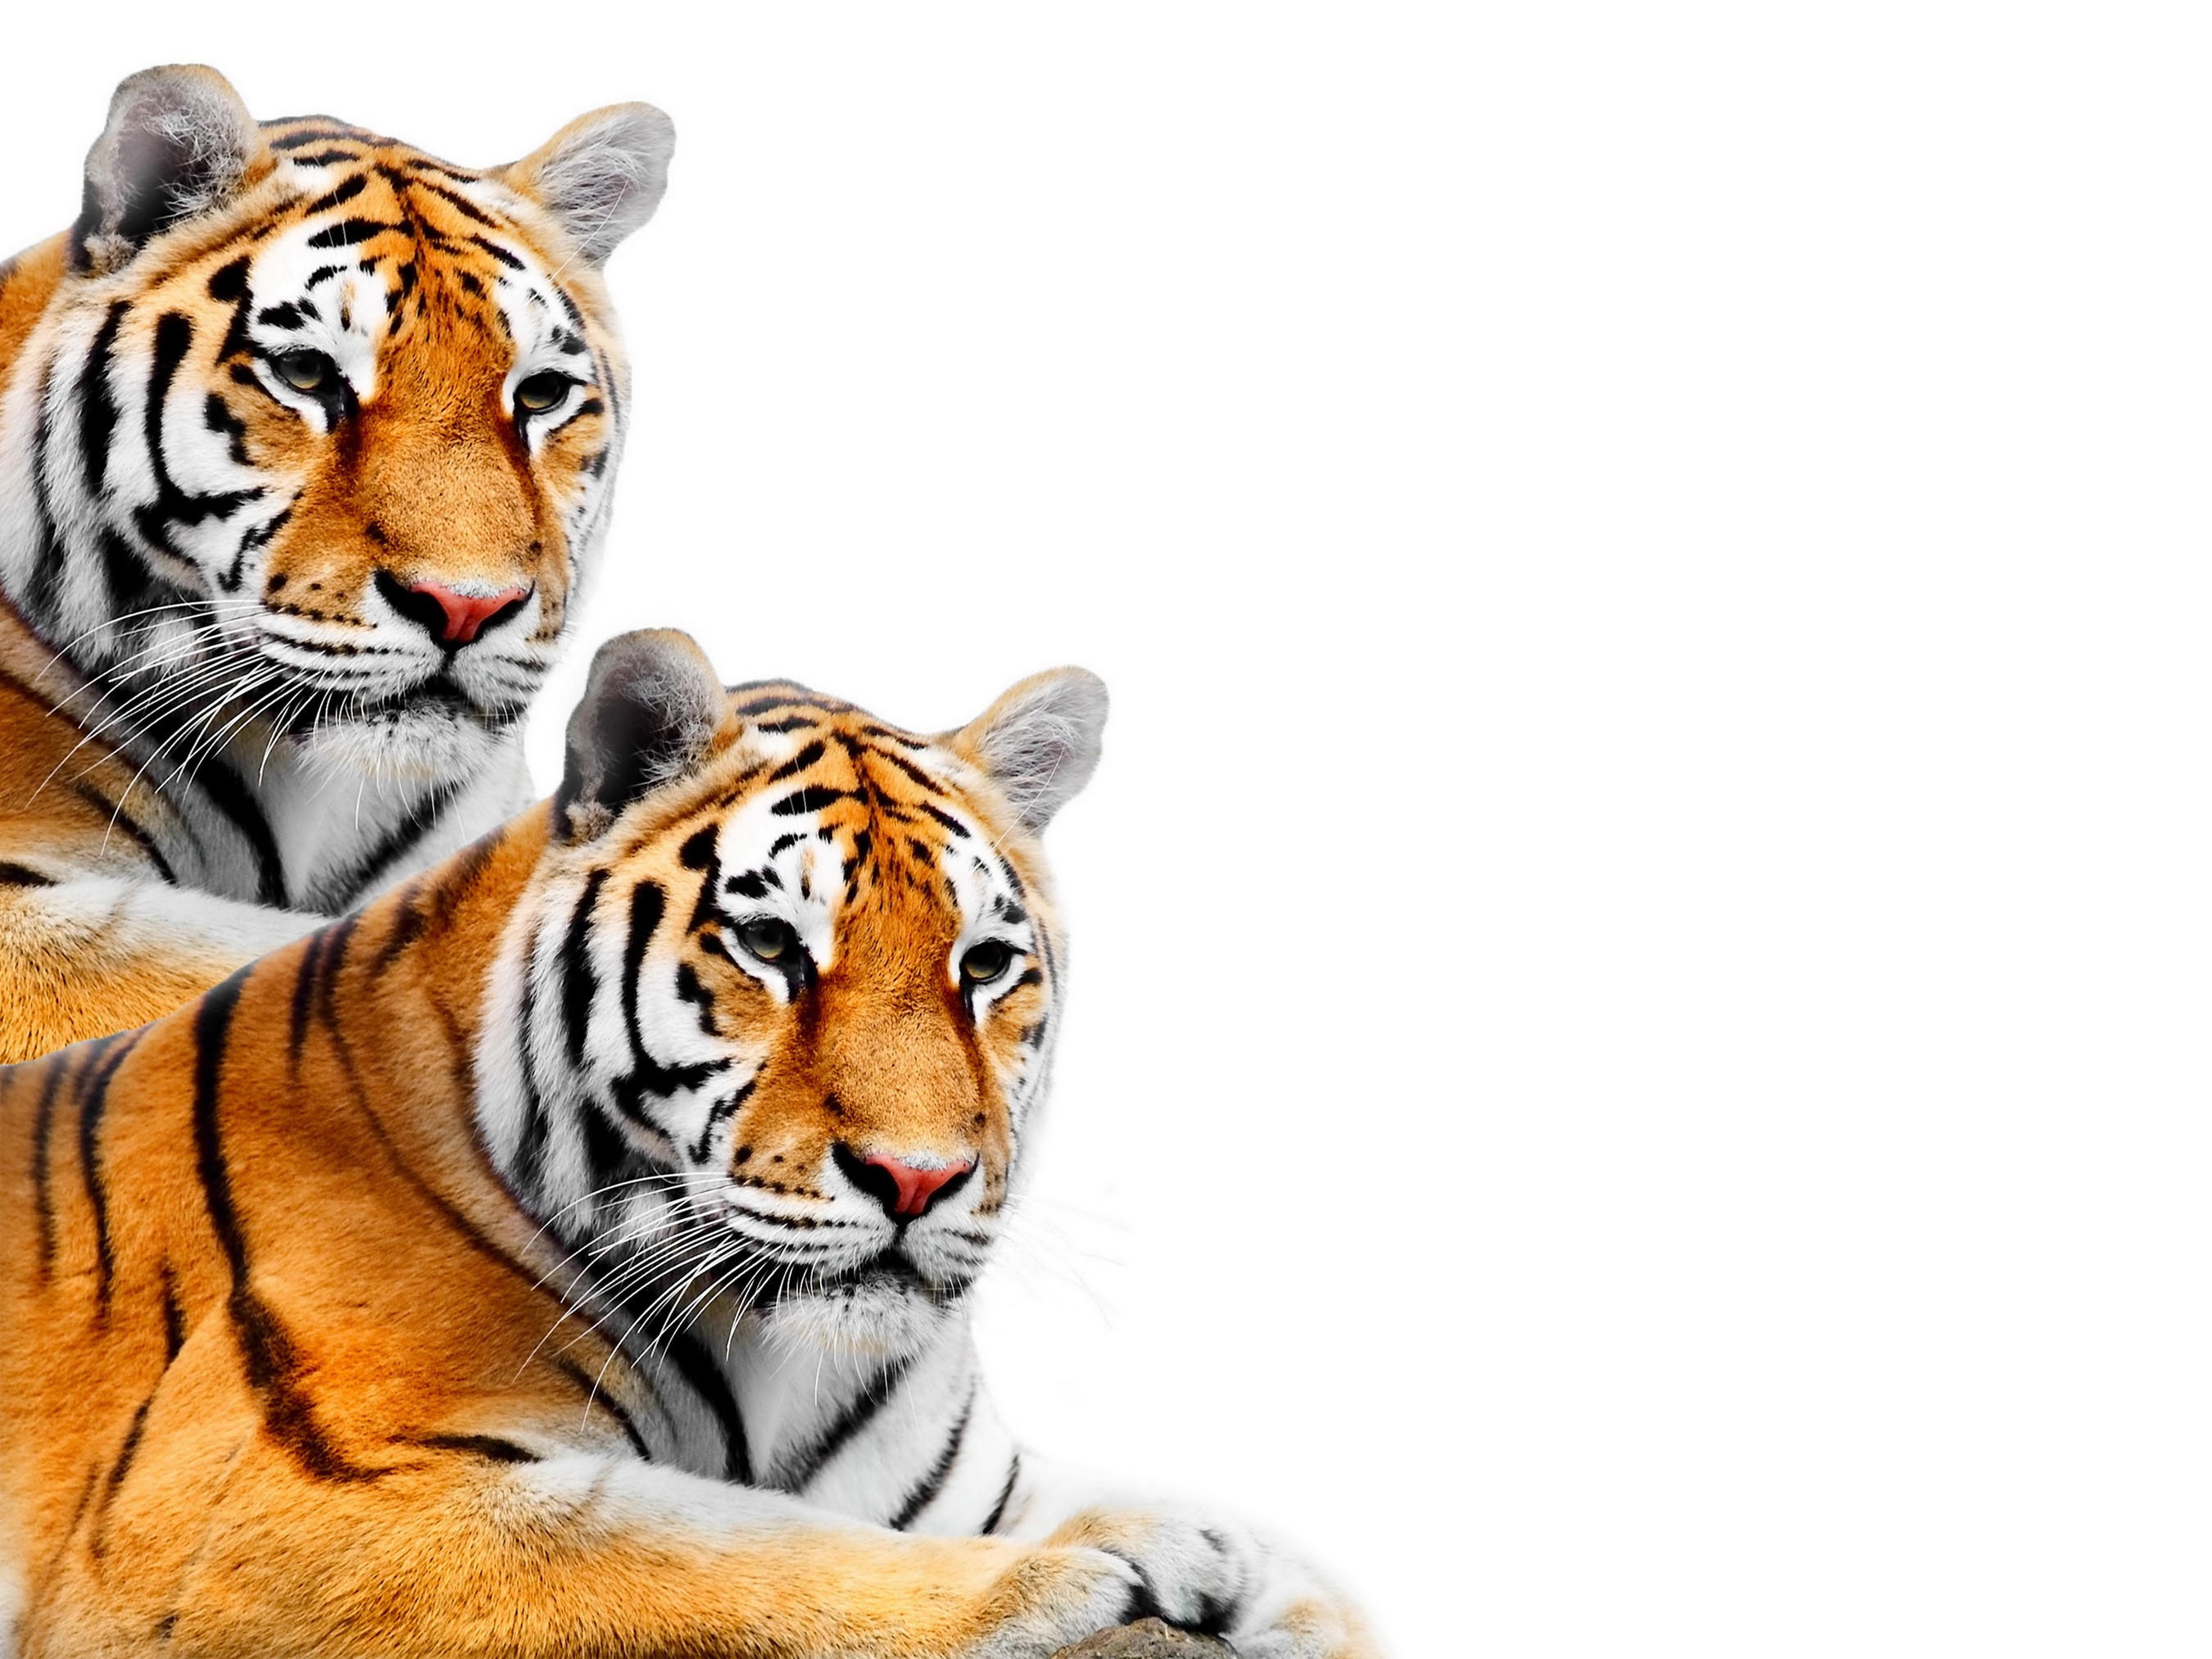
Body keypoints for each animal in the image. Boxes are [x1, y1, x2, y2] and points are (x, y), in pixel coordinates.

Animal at [0, 628, 1380, 1658]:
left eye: (984, 965)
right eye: (770, 947)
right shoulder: (286, 1506)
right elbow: (729, 1550)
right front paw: (1095, 1562)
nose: (919, 1180)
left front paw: (1247, 1573)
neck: (782, 1366)